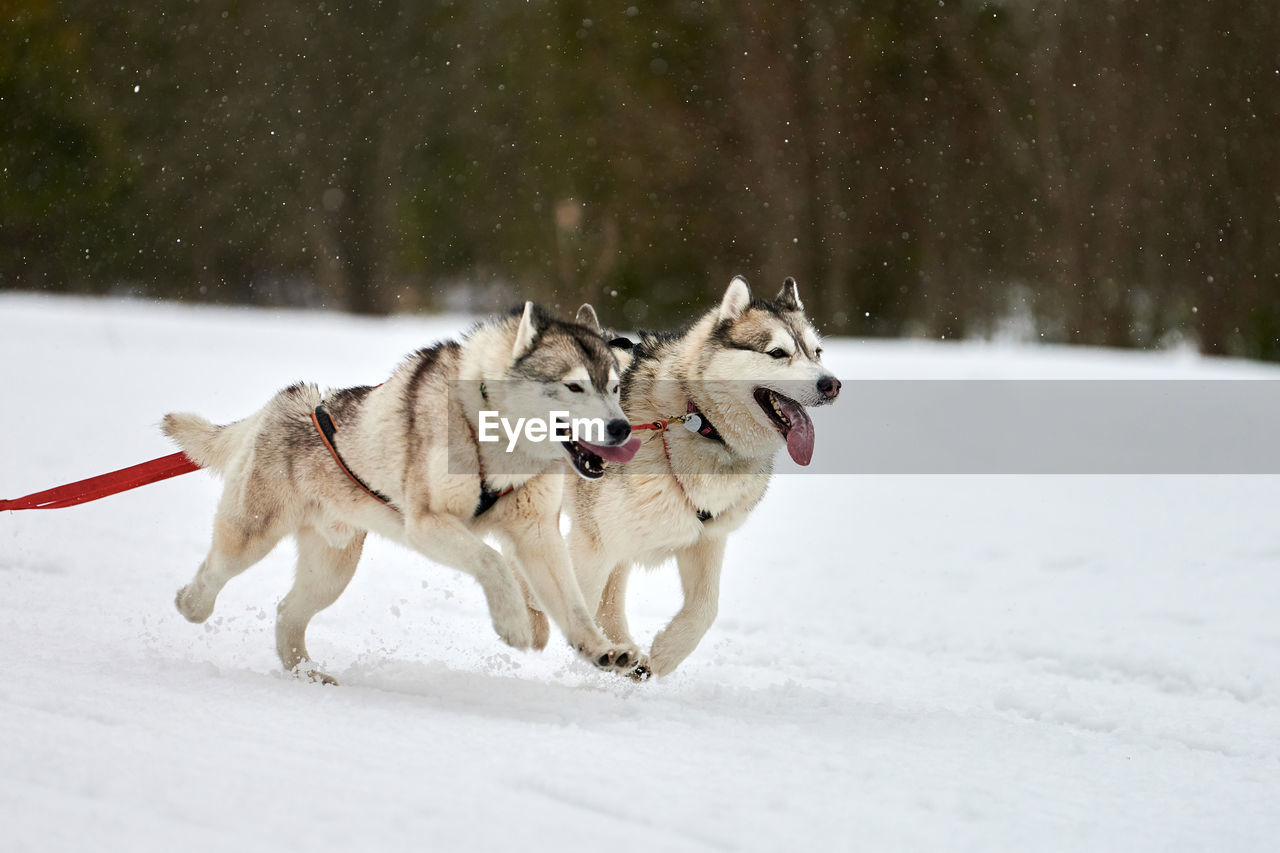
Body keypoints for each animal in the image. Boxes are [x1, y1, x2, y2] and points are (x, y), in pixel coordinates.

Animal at [161, 302, 645, 681]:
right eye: (574, 386)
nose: (621, 429)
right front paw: (513, 624)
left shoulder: (537, 535)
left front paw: (600, 649)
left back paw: (306, 673)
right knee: (215, 572)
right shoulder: (428, 524)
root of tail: (278, 405)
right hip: (251, 536)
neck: (490, 431)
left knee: (286, 612)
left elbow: (575, 605)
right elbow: (492, 561)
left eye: (615, 387)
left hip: (330, 573)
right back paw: (190, 603)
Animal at [568, 277, 839, 676]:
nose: (831, 384)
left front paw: (664, 653)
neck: (699, 420)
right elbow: (575, 600)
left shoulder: (705, 539)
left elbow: (706, 609)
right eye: (777, 353)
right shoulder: (592, 540)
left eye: (816, 352)